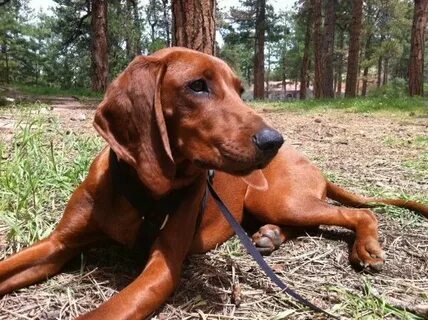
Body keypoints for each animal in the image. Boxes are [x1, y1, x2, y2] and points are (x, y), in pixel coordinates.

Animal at [0, 46, 428, 318]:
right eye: (198, 85)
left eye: (239, 90)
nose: (273, 140)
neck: (141, 190)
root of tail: (312, 162)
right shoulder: (58, 244)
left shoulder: (161, 269)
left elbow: (104, 313)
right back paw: (270, 236)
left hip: (281, 199)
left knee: (357, 214)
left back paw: (366, 247)